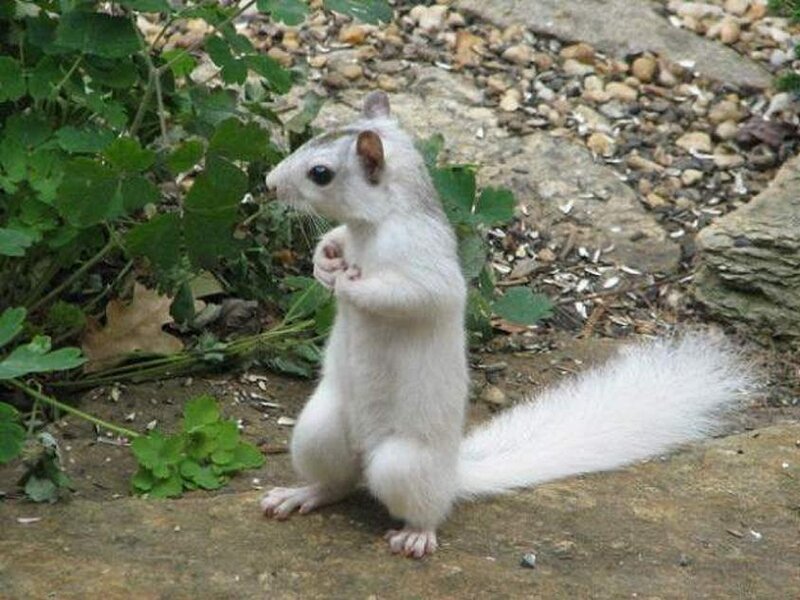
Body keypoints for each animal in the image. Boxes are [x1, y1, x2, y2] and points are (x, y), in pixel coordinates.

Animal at [260, 91, 751, 558]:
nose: (269, 183)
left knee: (424, 508)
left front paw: (349, 284)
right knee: (337, 483)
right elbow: (334, 239)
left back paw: (417, 535)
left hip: (402, 465)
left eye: (320, 173)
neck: (374, 226)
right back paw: (300, 495)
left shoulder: (428, 267)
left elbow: (411, 296)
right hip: (317, 434)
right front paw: (325, 263)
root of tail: (453, 474)